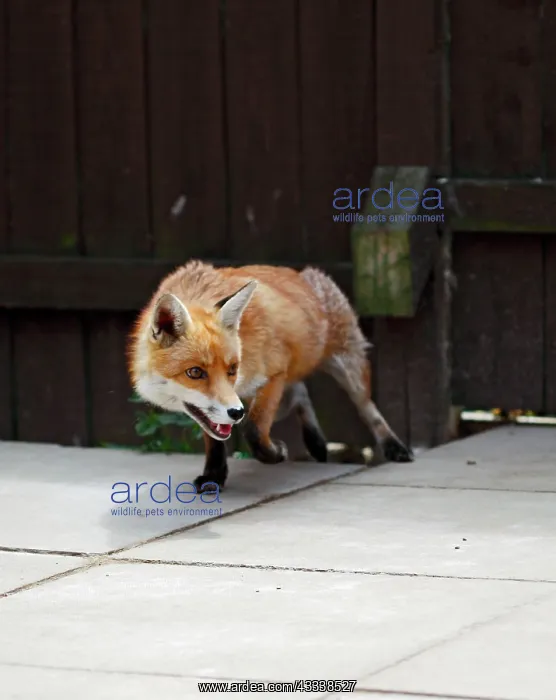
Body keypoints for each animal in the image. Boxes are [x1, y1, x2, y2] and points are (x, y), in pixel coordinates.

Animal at [128, 260, 413, 491]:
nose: (236, 413)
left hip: (347, 368)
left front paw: (275, 453)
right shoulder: (220, 407)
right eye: (195, 372)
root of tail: (304, 274)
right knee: (300, 393)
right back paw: (315, 441)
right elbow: (216, 438)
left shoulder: (274, 373)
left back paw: (394, 447)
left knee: (367, 408)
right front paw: (214, 476)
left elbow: (255, 430)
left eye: (233, 369)